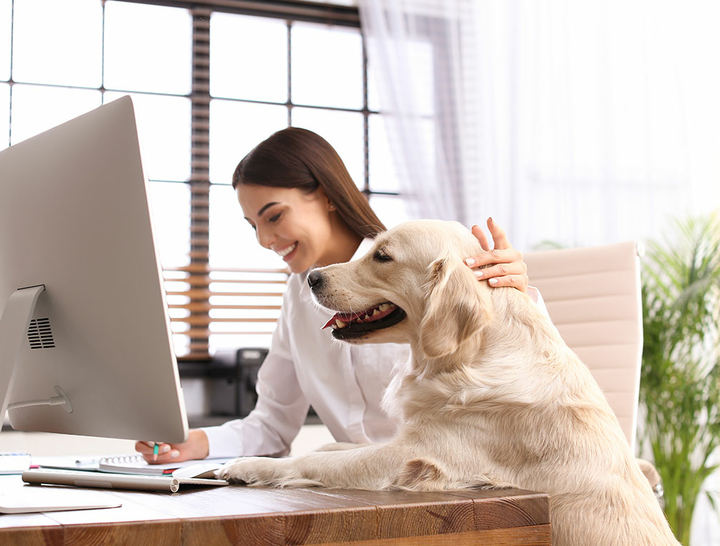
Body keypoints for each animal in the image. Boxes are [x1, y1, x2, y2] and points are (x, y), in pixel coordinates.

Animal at [221, 219, 680, 540]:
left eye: (383, 257)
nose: (313, 277)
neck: (466, 357)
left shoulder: (417, 456)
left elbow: (315, 460)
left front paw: (248, 465)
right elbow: (336, 446)